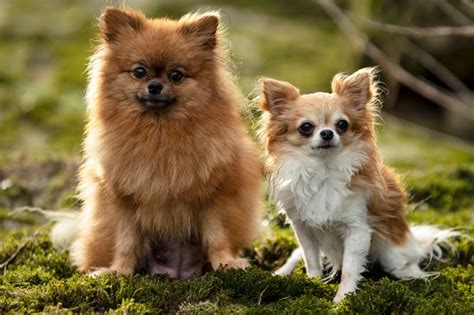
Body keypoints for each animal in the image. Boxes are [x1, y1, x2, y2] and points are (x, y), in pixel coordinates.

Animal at [59, 6, 262, 278]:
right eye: (139, 72)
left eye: (176, 75)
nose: (154, 86)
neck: (159, 133)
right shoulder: (123, 201)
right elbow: (126, 242)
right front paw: (119, 271)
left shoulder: (215, 197)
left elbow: (217, 236)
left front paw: (226, 263)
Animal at [260, 69, 460, 304]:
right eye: (306, 127)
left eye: (342, 124)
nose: (327, 133)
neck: (323, 170)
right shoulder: (303, 228)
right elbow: (311, 260)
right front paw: (313, 284)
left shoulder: (357, 230)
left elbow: (349, 268)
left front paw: (342, 300)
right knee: (296, 254)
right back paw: (281, 272)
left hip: (392, 251)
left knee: (404, 263)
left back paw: (412, 273)